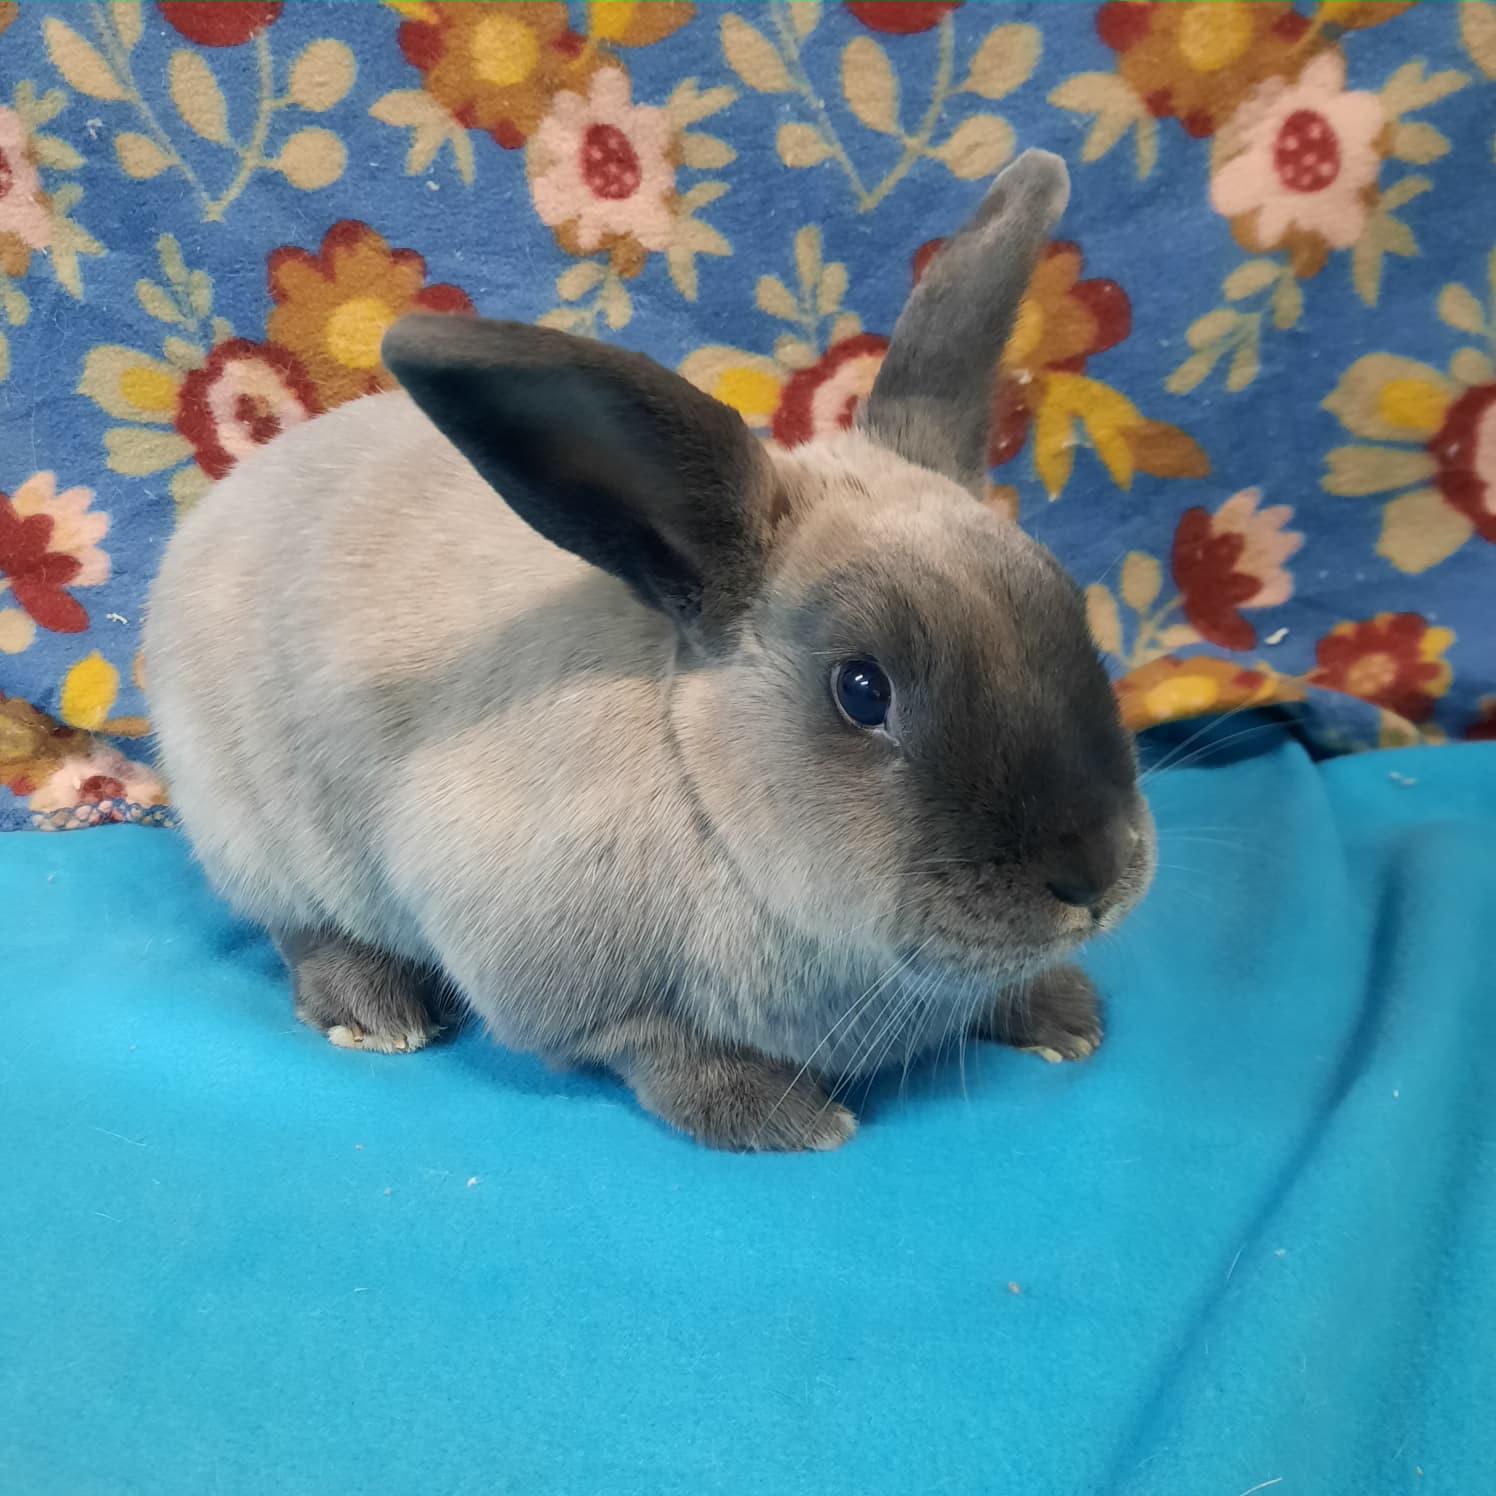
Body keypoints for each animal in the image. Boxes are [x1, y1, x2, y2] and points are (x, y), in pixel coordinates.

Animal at [144, 150, 1155, 1152]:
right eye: (863, 690)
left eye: (1072, 611)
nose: (1096, 878)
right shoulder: (561, 976)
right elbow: (655, 1048)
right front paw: (783, 1118)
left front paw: (1065, 1019)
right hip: (259, 836)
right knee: (300, 930)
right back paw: (375, 1013)